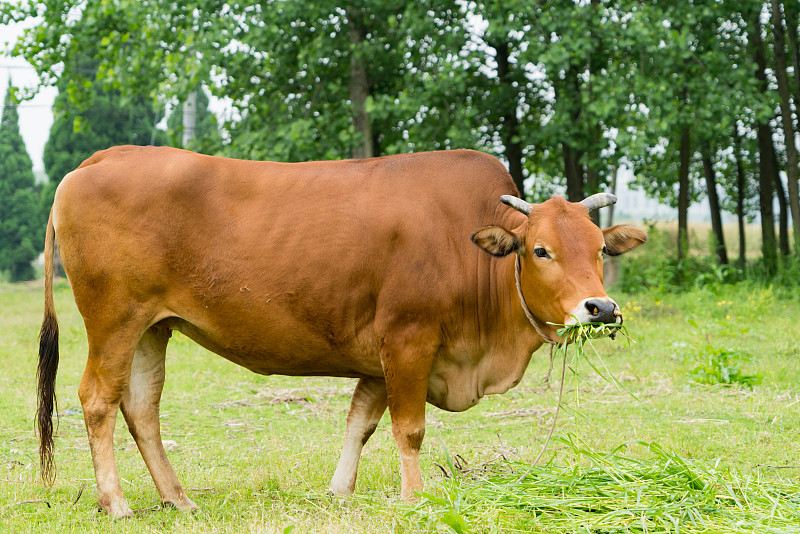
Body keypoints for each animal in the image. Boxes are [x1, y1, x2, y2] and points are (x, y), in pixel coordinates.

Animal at [37, 147, 648, 520]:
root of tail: (104, 157)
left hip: (151, 329)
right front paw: (414, 497)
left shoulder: (378, 358)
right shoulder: (407, 340)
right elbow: (408, 429)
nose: (600, 307)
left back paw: (178, 499)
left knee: (141, 406)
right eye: (540, 250)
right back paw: (116, 502)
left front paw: (339, 491)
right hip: (114, 321)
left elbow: (361, 423)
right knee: (97, 399)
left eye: (600, 248)